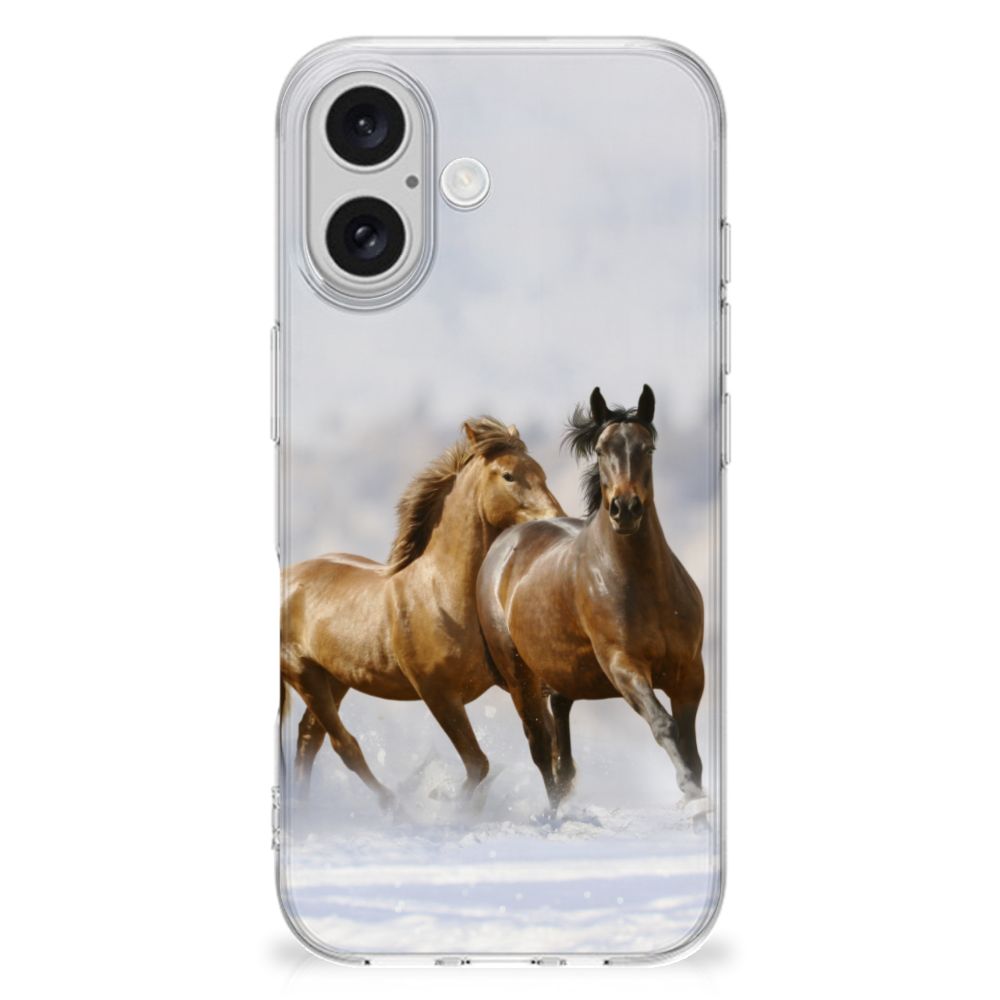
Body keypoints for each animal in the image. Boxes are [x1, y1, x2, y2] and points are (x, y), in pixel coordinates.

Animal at [281, 417, 564, 809]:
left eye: (542, 472)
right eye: (509, 475)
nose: (557, 520)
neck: (443, 595)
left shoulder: (517, 681)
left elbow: (544, 744)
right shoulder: (438, 693)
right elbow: (478, 763)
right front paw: (449, 804)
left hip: (334, 679)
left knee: (310, 738)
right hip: (304, 674)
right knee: (343, 744)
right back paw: (392, 805)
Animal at [476, 386, 708, 814]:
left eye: (648, 447)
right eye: (600, 450)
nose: (625, 509)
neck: (645, 588)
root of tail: (504, 544)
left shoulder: (689, 673)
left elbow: (691, 747)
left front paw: (697, 799)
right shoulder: (623, 666)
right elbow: (663, 725)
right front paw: (689, 792)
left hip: (561, 676)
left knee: (561, 751)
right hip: (520, 679)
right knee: (541, 749)